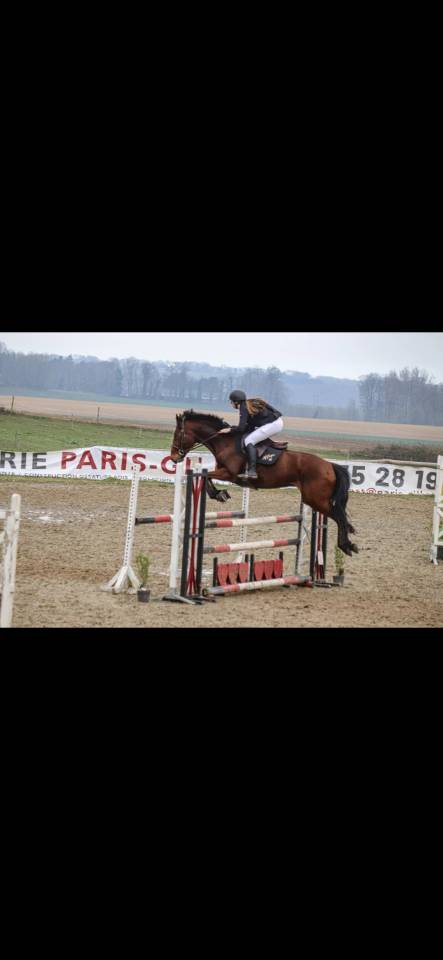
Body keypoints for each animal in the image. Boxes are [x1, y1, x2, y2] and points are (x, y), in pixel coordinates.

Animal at [170, 410, 358, 557]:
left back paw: (346, 546)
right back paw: (348, 543)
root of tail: (329, 465)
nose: (173, 458)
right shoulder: (224, 473)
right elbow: (206, 476)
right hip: (314, 499)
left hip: (316, 499)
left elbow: (206, 475)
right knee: (341, 515)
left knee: (339, 516)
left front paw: (219, 494)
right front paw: (220, 494)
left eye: (178, 435)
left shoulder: (230, 474)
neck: (225, 443)